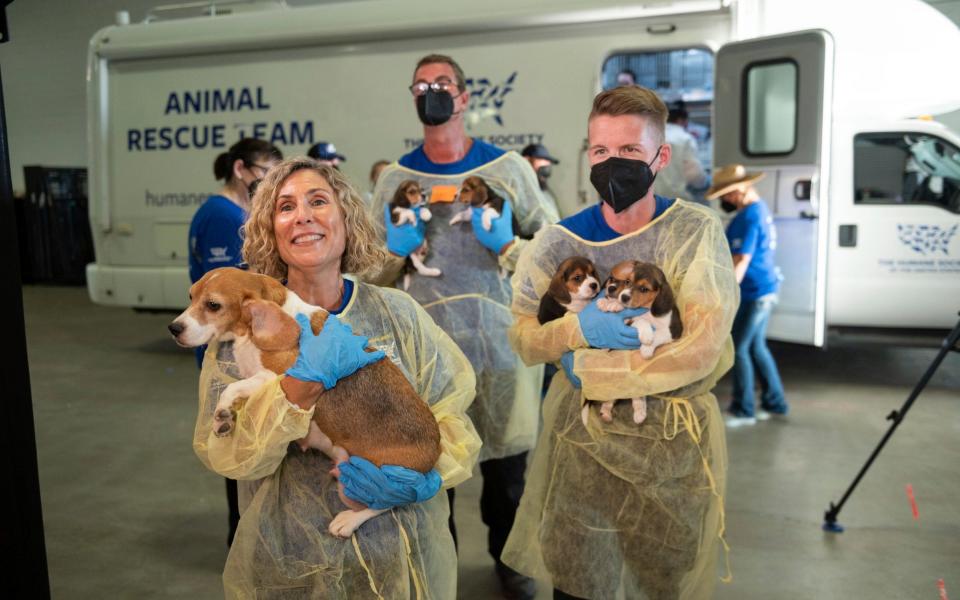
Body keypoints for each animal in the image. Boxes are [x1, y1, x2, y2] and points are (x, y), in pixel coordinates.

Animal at [170, 268, 442, 540]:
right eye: (191, 296)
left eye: (213, 305)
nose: (173, 328)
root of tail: (435, 452)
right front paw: (226, 418)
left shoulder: (274, 378)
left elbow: (232, 388)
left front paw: (222, 414)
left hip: (377, 477)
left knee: (389, 502)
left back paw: (349, 520)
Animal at [584, 262, 684, 426]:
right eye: (628, 282)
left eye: (644, 289)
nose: (623, 297)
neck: (648, 310)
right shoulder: (629, 322)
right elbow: (639, 320)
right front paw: (612, 304)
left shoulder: (674, 330)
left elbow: (658, 333)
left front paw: (647, 346)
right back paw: (606, 412)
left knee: (637, 396)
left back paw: (639, 412)